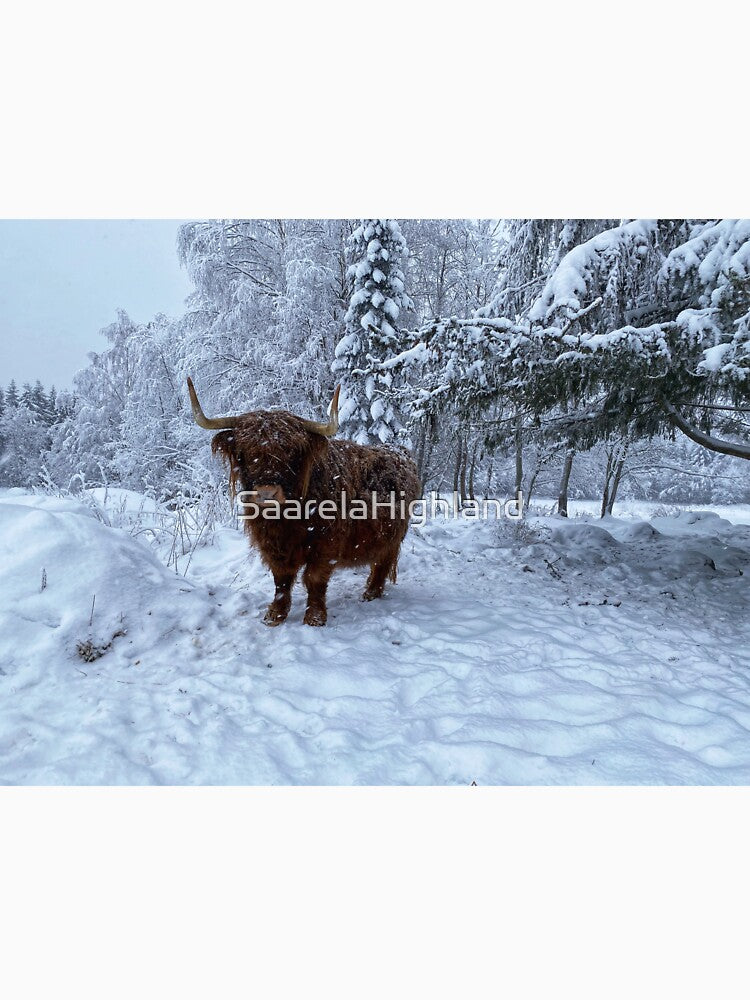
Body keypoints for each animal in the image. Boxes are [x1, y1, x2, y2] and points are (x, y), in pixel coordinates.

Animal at [187, 377, 421, 626]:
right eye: (246, 452)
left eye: (290, 452)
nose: (267, 493)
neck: (287, 518)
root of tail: (400, 451)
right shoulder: (271, 544)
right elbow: (281, 578)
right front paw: (275, 614)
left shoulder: (326, 544)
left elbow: (314, 578)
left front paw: (315, 617)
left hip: (394, 534)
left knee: (382, 561)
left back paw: (371, 593)